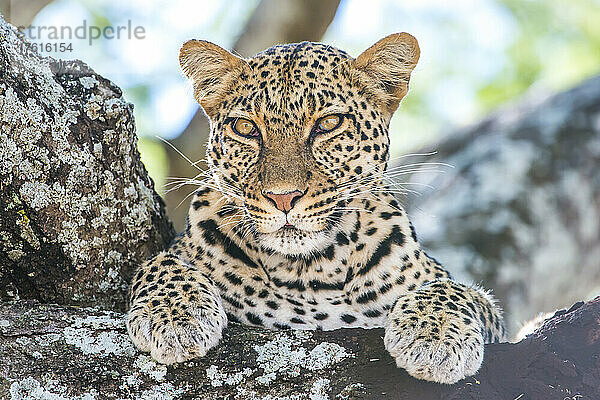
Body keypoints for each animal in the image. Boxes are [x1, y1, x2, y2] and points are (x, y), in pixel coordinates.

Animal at [127, 32, 506, 384]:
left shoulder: (480, 308)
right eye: (245, 128)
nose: (283, 197)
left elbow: (459, 290)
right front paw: (175, 317)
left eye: (329, 124)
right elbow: (161, 262)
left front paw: (435, 336)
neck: (311, 272)